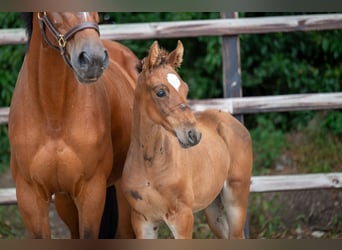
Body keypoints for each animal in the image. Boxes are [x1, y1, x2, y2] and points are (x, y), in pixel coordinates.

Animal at [121, 40, 252, 238]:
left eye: (185, 88)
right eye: (160, 92)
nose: (193, 134)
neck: (149, 163)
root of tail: (231, 119)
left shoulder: (182, 217)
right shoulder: (142, 221)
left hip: (236, 199)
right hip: (214, 207)